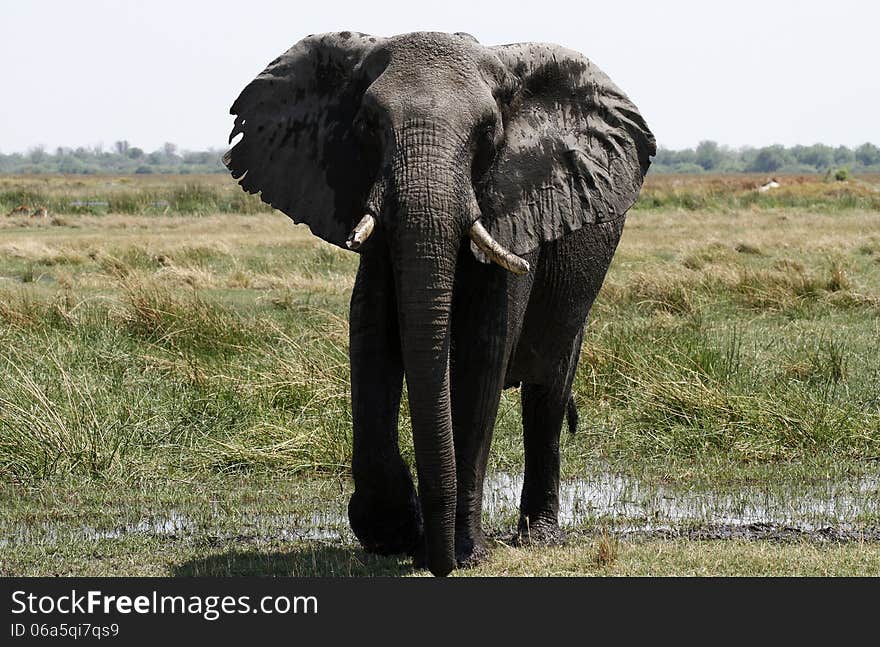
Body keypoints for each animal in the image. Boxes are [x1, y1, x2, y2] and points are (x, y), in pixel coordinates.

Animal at [227, 31, 652, 576]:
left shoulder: (514, 206)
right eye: (368, 124)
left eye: (489, 131)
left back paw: (537, 537)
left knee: (547, 395)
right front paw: (392, 533)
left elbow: (481, 353)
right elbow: (371, 335)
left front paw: (461, 552)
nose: (436, 561)